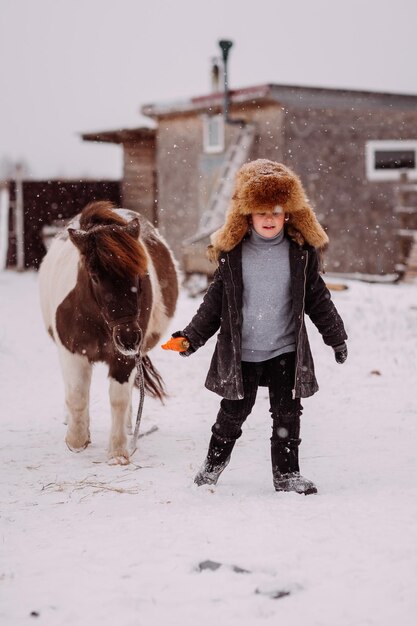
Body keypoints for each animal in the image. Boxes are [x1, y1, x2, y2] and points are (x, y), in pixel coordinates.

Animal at [37, 201, 177, 464]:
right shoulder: (72, 353)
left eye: (139, 277)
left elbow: (119, 399)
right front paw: (77, 440)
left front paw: (118, 451)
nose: (129, 337)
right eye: (94, 277)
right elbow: (78, 396)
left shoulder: (123, 358)